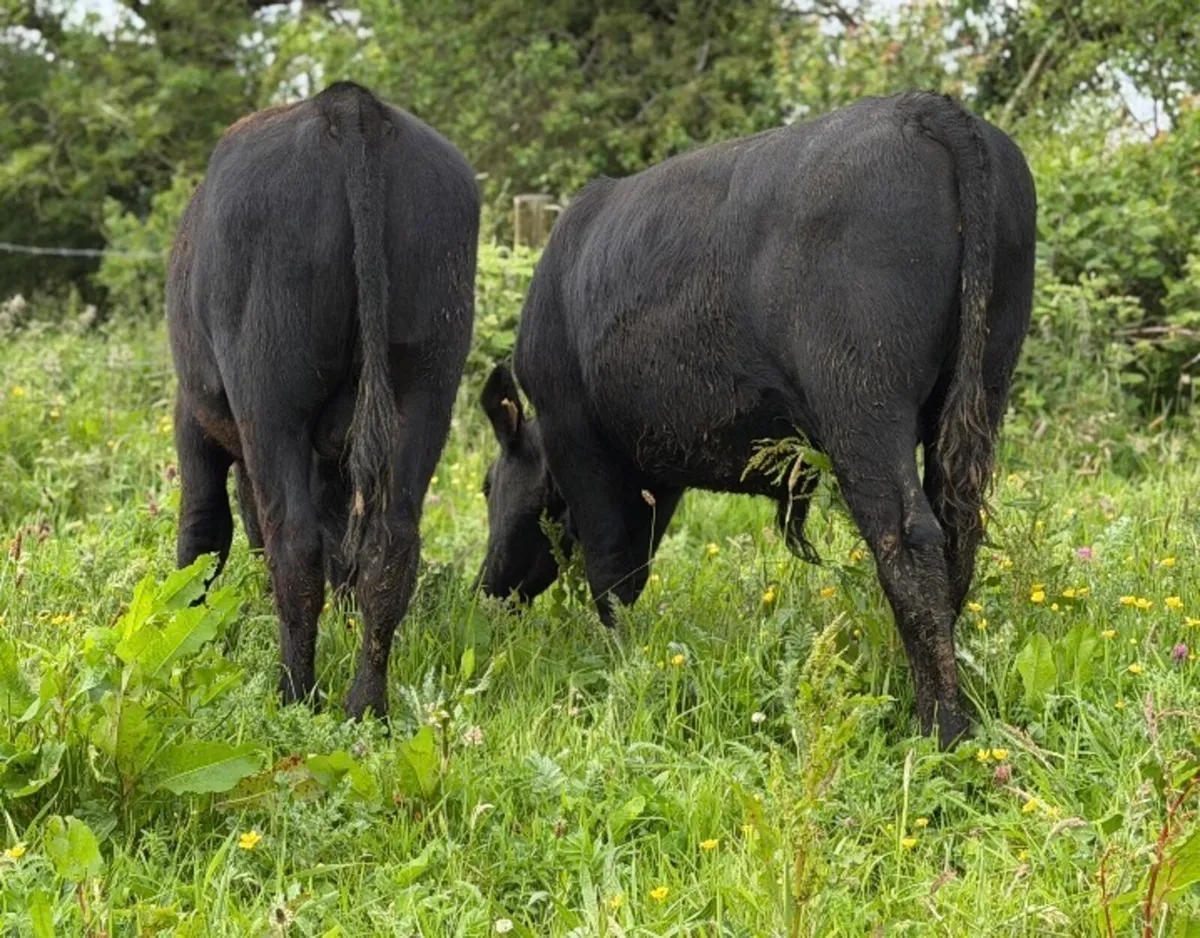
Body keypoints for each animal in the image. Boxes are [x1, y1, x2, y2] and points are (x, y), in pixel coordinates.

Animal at [167, 81, 479, 719]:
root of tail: (350, 105)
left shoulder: (194, 416)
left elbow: (202, 531)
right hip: (427, 385)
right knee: (390, 546)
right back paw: (365, 705)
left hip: (270, 398)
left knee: (294, 545)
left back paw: (295, 696)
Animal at [477, 92, 1035, 747]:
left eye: (487, 485)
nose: (485, 589)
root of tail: (926, 107)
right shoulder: (653, 473)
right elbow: (633, 570)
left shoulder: (579, 439)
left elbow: (611, 572)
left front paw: (617, 668)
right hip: (982, 384)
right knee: (958, 530)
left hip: (863, 402)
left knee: (909, 538)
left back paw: (939, 728)